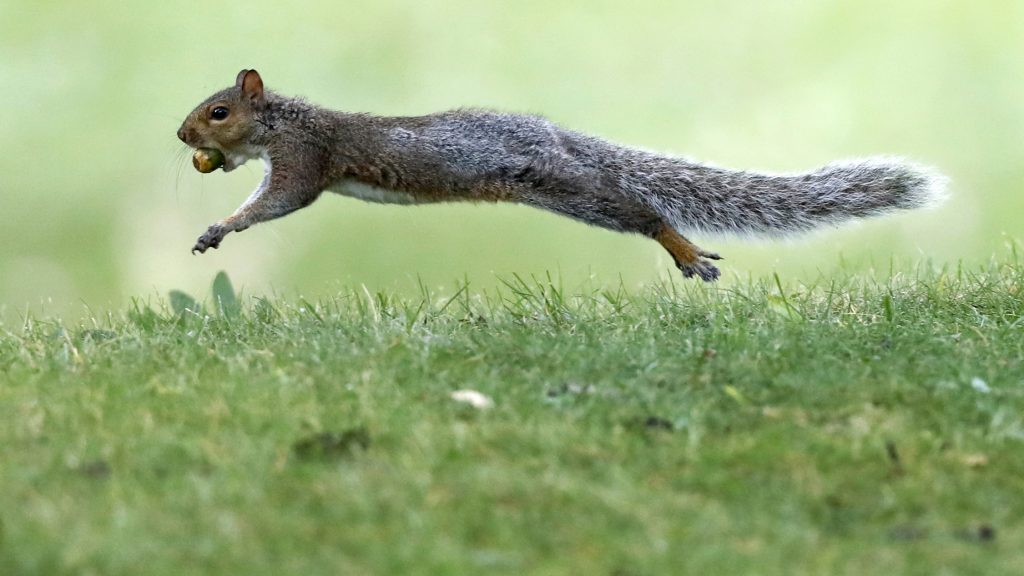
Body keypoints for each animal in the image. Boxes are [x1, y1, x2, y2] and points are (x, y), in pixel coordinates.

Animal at [177, 69, 947, 281]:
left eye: (218, 111)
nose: (184, 138)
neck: (285, 120)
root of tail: (554, 136)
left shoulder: (306, 160)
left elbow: (278, 202)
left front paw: (221, 226)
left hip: (566, 190)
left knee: (643, 212)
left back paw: (686, 251)